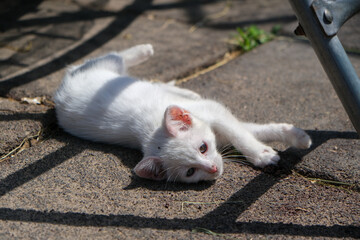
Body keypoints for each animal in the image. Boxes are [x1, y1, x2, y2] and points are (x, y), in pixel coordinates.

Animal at [54, 44, 312, 183]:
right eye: (190, 171)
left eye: (203, 147)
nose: (213, 169)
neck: (150, 131)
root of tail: (62, 86)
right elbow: (248, 131)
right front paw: (286, 142)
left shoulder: (214, 112)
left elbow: (243, 133)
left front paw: (274, 147)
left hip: (106, 69)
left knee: (114, 57)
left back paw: (144, 51)